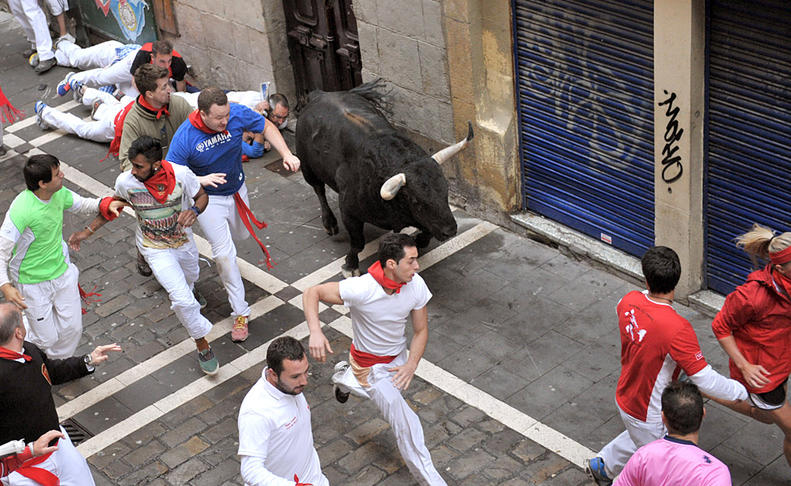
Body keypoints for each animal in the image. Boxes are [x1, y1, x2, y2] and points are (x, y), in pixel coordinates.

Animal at [296, 81, 470, 276]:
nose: (451, 231)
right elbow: (357, 243)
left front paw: (418, 241)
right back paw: (329, 223)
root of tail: (319, 95)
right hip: (307, 167)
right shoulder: (348, 211)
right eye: (416, 201)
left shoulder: (424, 220)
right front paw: (350, 266)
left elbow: (428, 232)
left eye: (445, 192)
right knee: (319, 190)